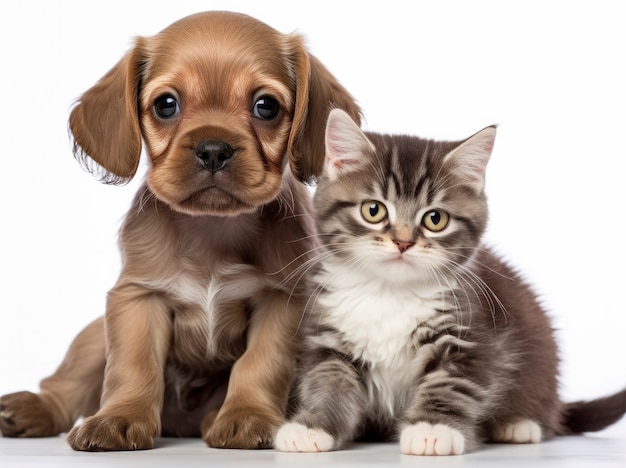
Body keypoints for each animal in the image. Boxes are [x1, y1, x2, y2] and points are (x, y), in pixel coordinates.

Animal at [0, 10, 358, 450]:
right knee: (64, 386)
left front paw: (247, 415)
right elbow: (132, 365)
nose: (214, 149)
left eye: (266, 106)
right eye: (166, 105)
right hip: (93, 337)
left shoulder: (281, 302)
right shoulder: (137, 297)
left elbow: (260, 363)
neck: (212, 229)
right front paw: (119, 418)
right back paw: (30, 409)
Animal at [274, 109, 624, 454]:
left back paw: (517, 424)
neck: (390, 291)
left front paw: (431, 429)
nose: (403, 242)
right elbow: (328, 382)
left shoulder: (467, 334)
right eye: (373, 210)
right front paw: (312, 426)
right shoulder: (329, 338)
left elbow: (450, 385)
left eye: (435, 219)